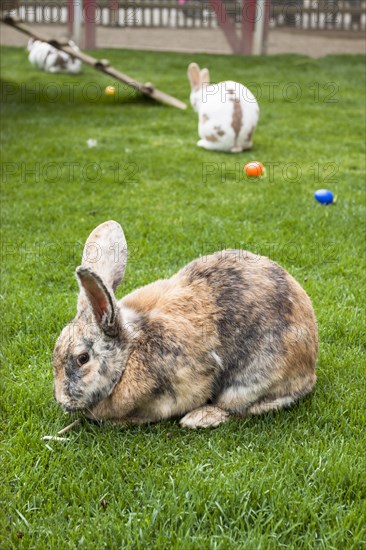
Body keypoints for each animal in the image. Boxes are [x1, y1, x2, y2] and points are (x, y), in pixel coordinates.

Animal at [53, 222, 318, 430]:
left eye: (83, 358)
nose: (61, 400)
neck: (130, 352)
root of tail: (310, 360)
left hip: (252, 380)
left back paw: (200, 418)